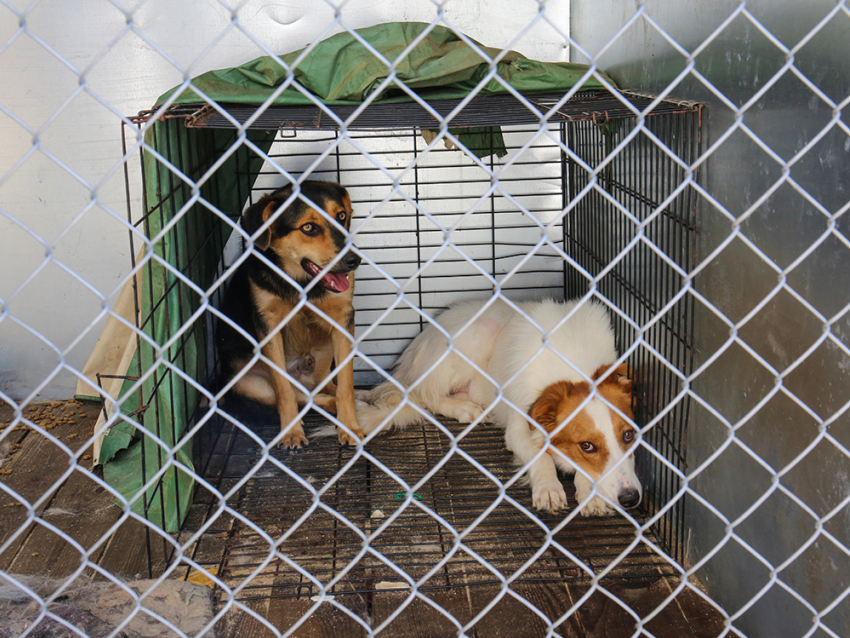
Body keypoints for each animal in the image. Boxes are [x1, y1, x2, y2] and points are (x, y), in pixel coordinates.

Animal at [217, 181, 362, 450]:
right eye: (308, 227)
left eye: (341, 216)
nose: (354, 260)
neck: (302, 284)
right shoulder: (268, 324)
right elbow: (284, 392)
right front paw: (292, 432)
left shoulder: (343, 318)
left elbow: (346, 383)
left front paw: (350, 426)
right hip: (247, 382)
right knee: (302, 397)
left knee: (322, 387)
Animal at [354, 302, 640, 520]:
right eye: (587, 446)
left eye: (629, 436)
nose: (631, 499)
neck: (572, 365)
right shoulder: (518, 429)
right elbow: (541, 457)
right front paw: (548, 487)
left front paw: (592, 495)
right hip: (476, 335)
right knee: (425, 395)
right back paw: (464, 409)